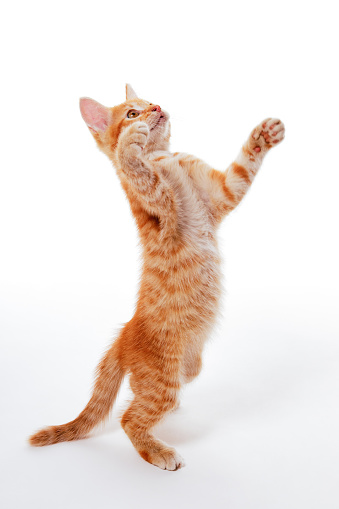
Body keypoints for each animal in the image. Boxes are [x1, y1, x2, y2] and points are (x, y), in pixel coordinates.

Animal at [29, 83, 286, 468]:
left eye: (150, 100)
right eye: (132, 113)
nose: (157, 107)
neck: (165, 157)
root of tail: (124, 334)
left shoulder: (223, 192)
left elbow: (243, 167)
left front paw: (264, 135)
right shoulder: (163, 217)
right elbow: (143, 177)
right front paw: (130, 147)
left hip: (186, 369)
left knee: (141, 396)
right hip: (164, 379)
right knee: (129, 417)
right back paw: (157, 449)